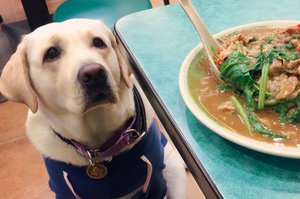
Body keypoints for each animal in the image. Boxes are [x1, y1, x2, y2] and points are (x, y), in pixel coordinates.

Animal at [0, 19, 185, 199]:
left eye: (98, 42)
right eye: (51, 53)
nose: (94, 73)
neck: (97, 148)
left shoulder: (155, 183)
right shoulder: (63, 191)